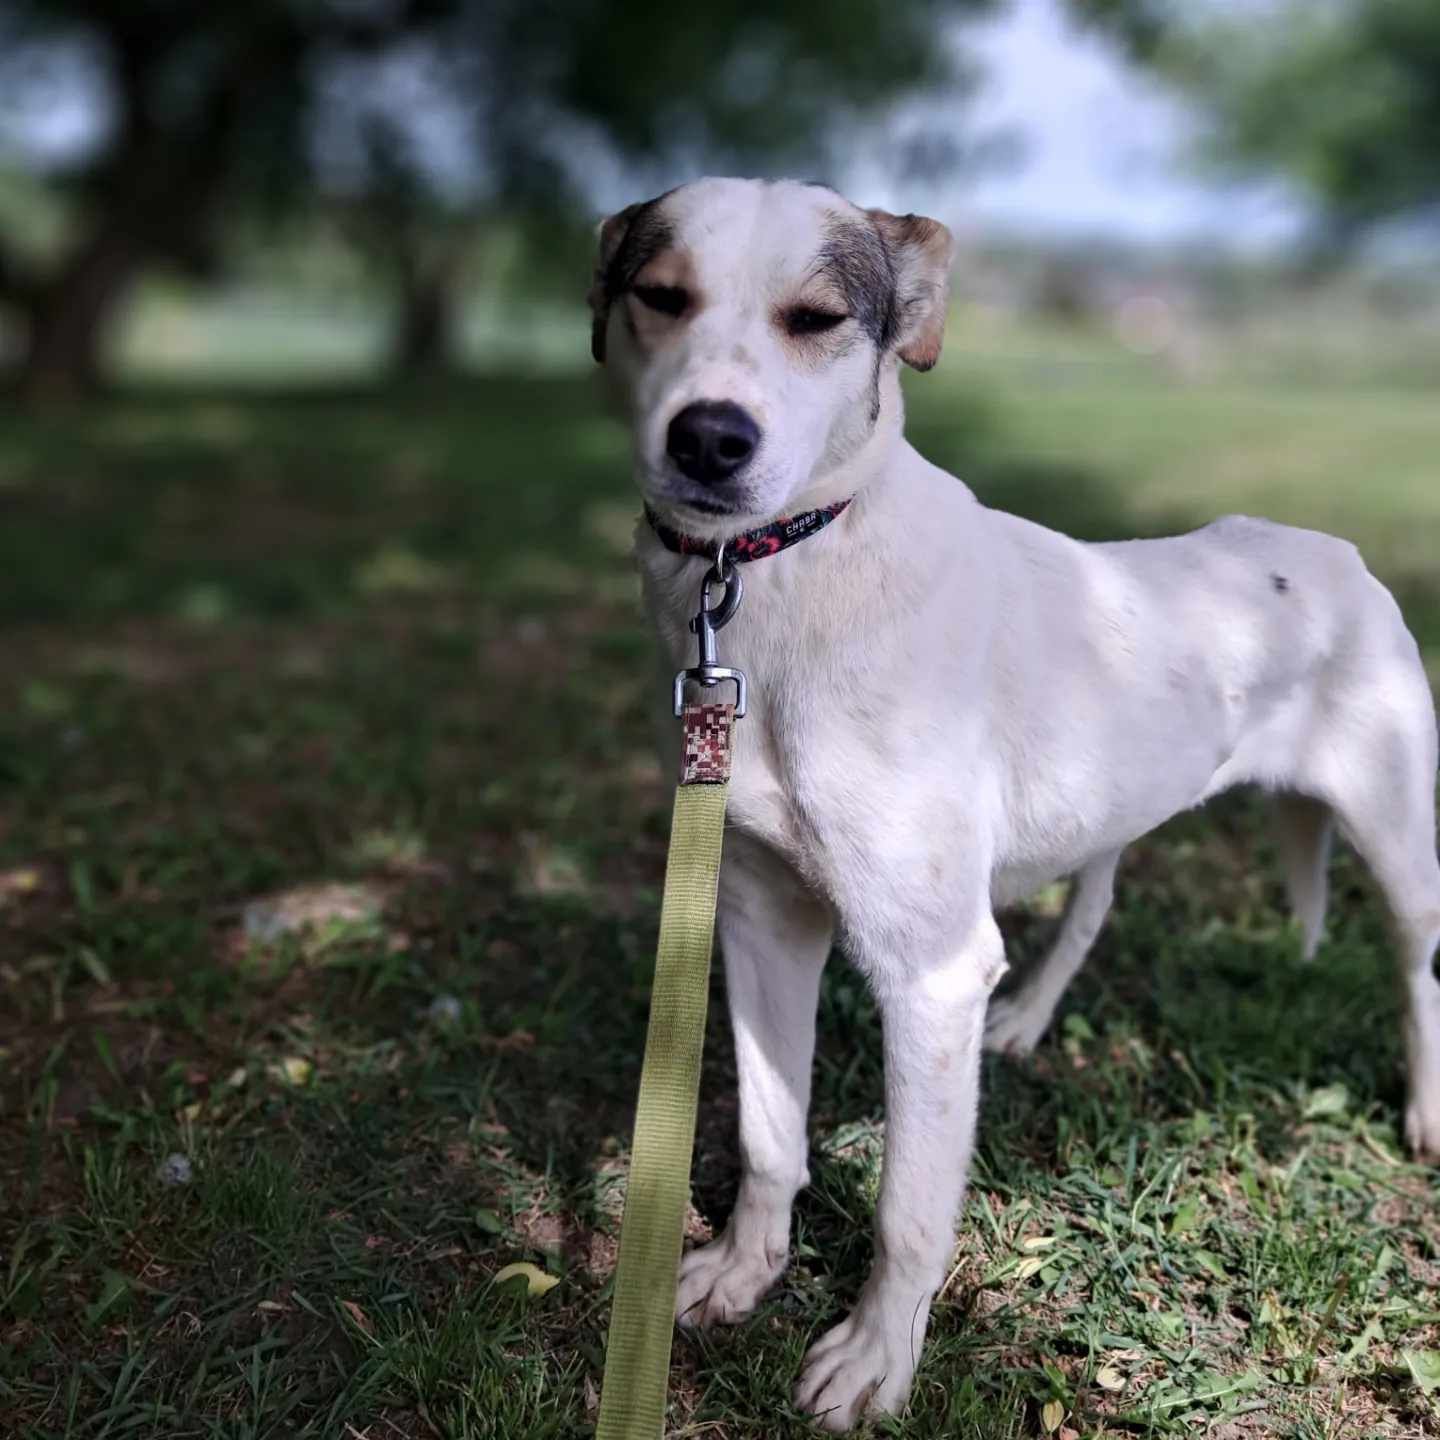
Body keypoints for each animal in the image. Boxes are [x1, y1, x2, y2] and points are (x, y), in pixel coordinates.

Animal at [584, 177, 1440, 1428]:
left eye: (816, 319)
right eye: (660, 294)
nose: (708, 438)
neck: (789, 570)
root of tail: (1335, 553)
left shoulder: (927, 971)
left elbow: (907, 1212)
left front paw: (876, 1361)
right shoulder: (761, 919)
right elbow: (770, 1136)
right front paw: (746, 1269)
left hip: (1397, 841)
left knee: (1421, 969)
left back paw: (1426, 1113)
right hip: (1110, 813)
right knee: (1090, 911)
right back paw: (1030, 1020)